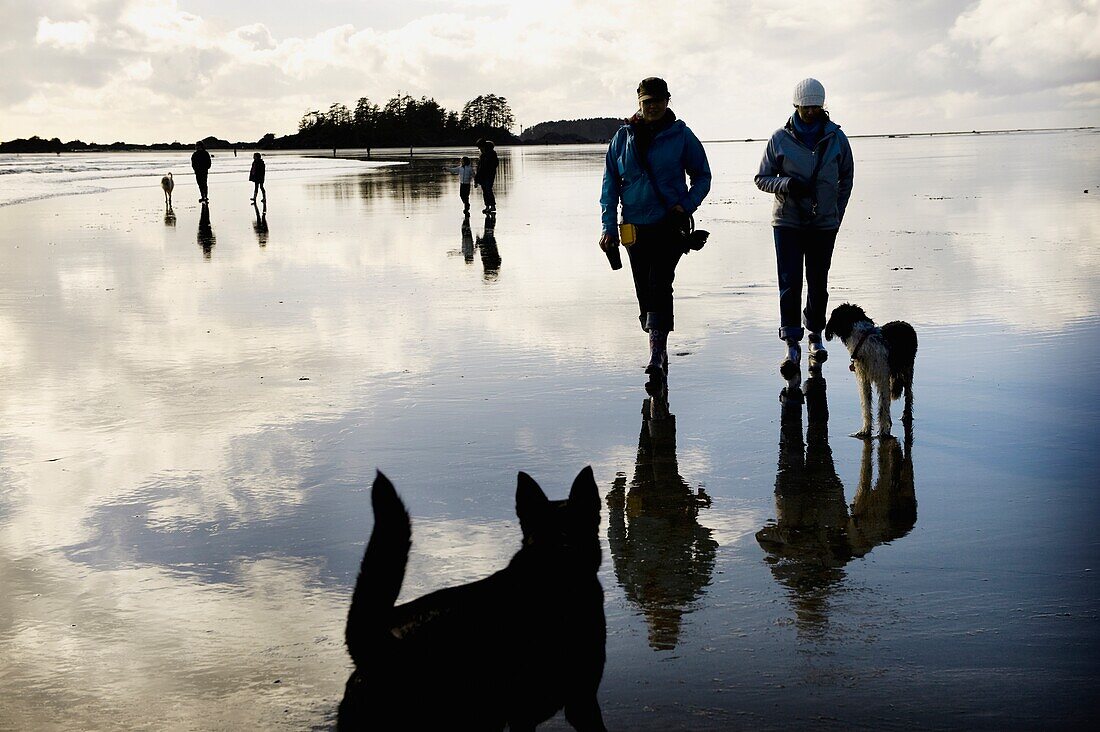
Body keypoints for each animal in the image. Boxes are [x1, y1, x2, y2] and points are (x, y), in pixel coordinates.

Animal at [827, 303, 919, 440]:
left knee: (908, 394)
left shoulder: (882, 378)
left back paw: (906, 416)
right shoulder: (863, 379)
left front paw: (884, 432)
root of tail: (904, 323)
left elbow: (882, 406)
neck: (863, 340)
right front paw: (865, 430)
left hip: (907, 368)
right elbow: (866, 404)